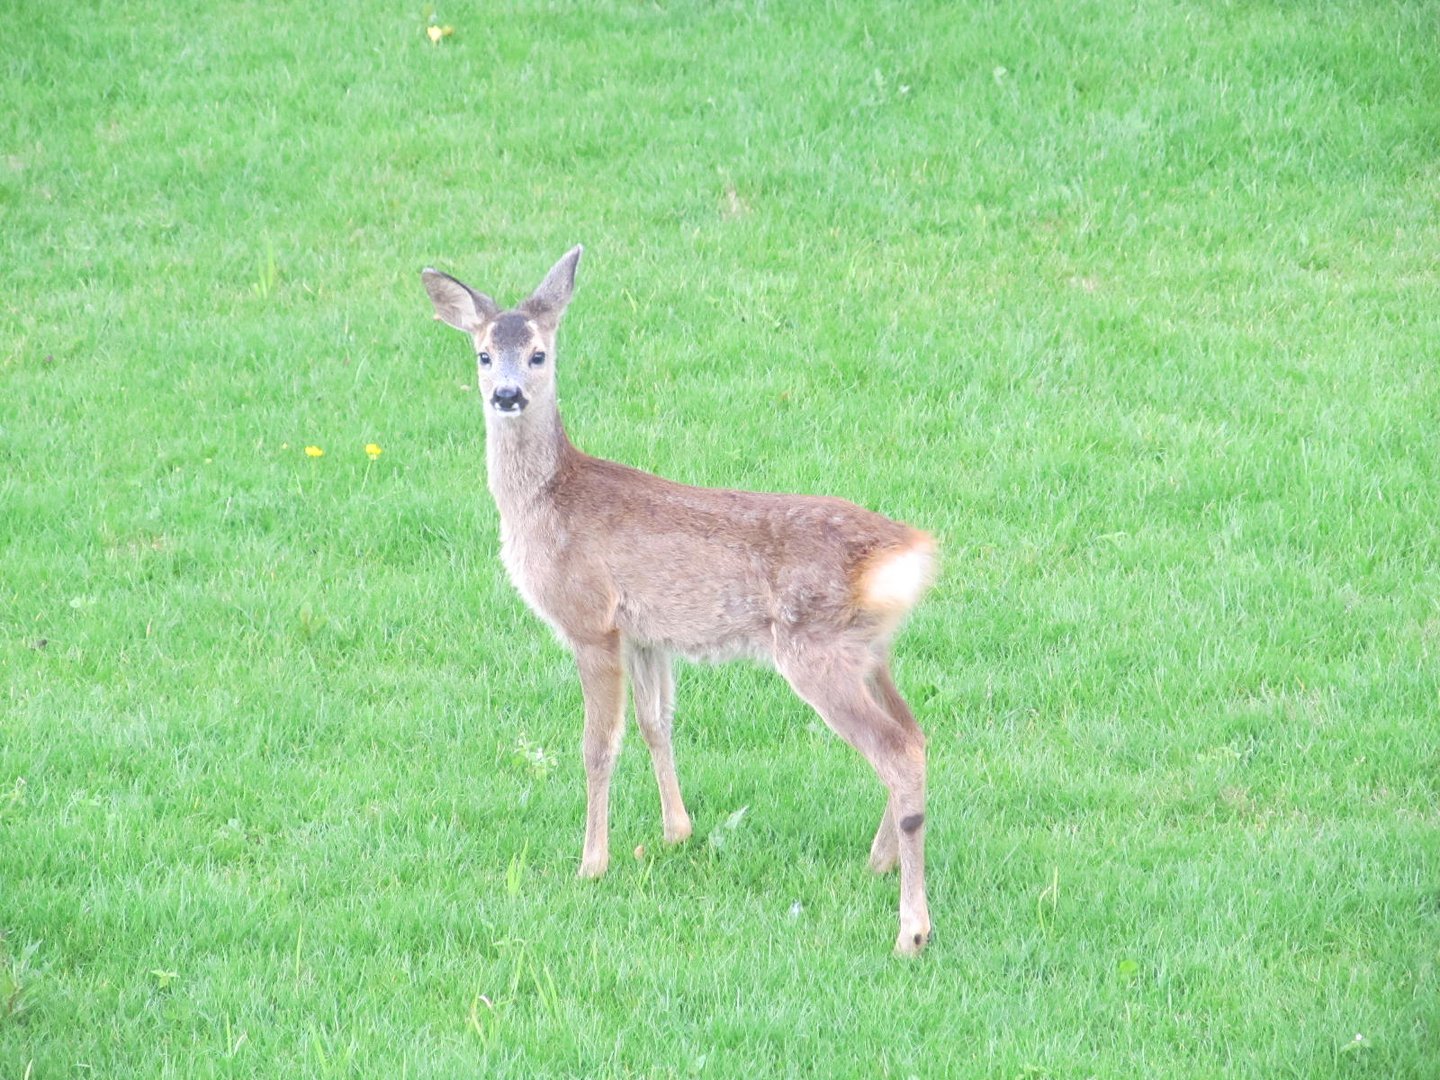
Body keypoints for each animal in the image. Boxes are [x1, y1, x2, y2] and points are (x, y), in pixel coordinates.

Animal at [420, 247, 933, 956]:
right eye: (483, 354)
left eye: (540, 354)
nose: (507, 395)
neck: (547, 501)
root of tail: (909, 550)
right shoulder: (644, 633)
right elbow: (655, 723)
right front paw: (675, 831)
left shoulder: (591, 620)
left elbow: (597, 745)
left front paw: (591, 864)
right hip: (870, 652)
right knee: (914, 735)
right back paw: (878, 861)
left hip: (814, 648)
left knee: (895, 752)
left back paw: (912, 930)